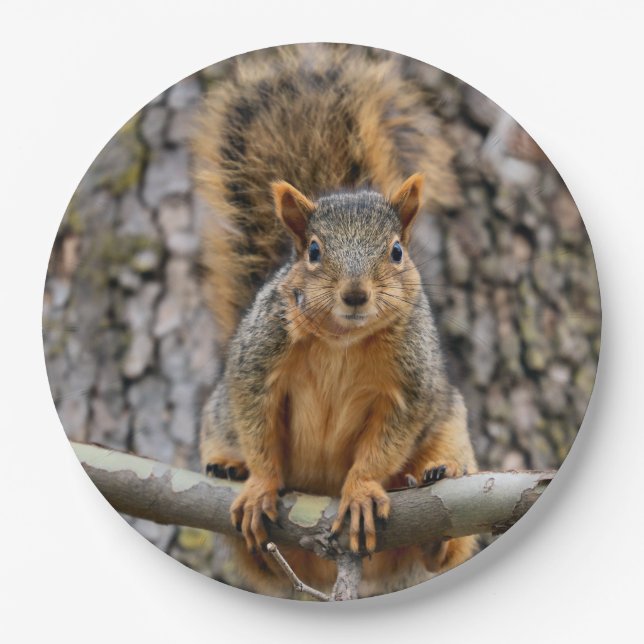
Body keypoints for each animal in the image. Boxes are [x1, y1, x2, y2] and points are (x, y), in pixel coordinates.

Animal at [193, 44, 478, 598]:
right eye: (313, 251)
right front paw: (259, 483)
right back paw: (230, 470)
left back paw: (435, 492)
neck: (342, 340)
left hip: (452, 427)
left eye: (396, 251)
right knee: (259, 560)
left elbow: (386, 442)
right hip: (219, 427)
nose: (355, 294)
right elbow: (257, 425)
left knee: (444, 546)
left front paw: (363, 490)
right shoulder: (259, 360)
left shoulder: (409, 386)